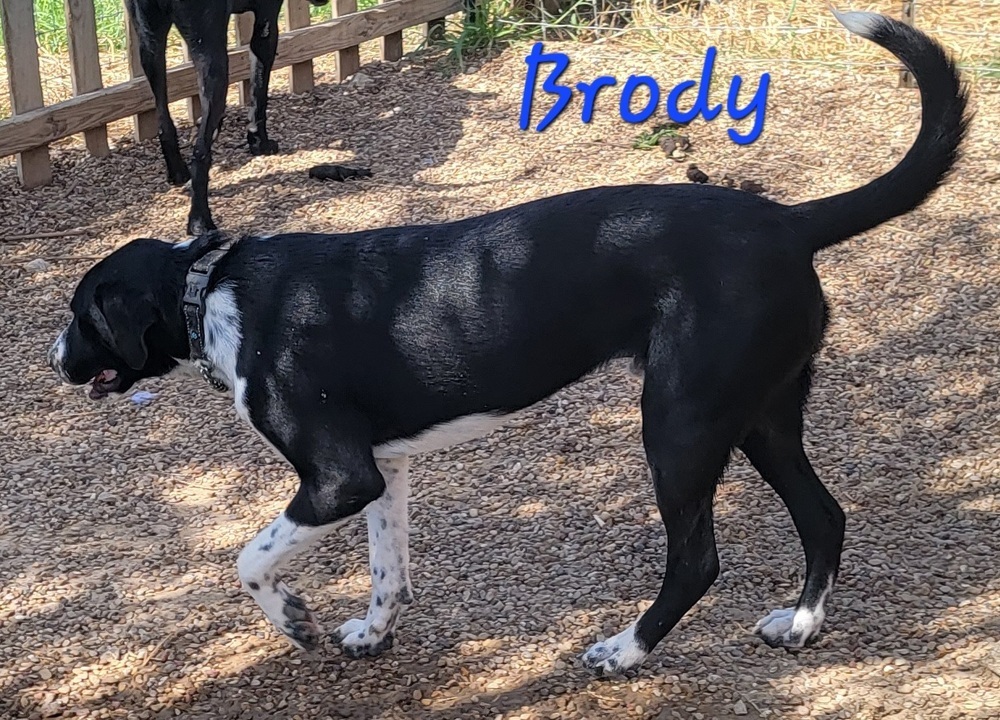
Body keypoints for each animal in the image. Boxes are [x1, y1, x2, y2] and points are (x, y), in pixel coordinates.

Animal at [123, 0, 330, 236]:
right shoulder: (266, 25)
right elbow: (259, 91)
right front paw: (260, 142)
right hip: (212, 58)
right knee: (200, 152)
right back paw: (200, 220)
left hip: (150, 48)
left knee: (164, 123)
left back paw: (178, 172)